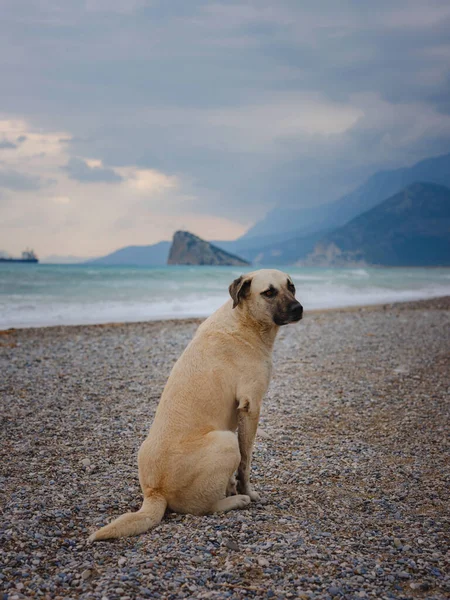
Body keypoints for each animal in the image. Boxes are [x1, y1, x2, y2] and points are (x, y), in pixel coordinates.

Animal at [89, 270, 302, 540]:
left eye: (291, 287)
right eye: (269, 292)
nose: (299, 309)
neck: (244, 321)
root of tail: (155, 493)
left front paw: (232, 486)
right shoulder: (251, 407)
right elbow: (246, 462)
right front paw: (248, 492)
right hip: (225, 441)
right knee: (204, 507)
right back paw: (237, 501)